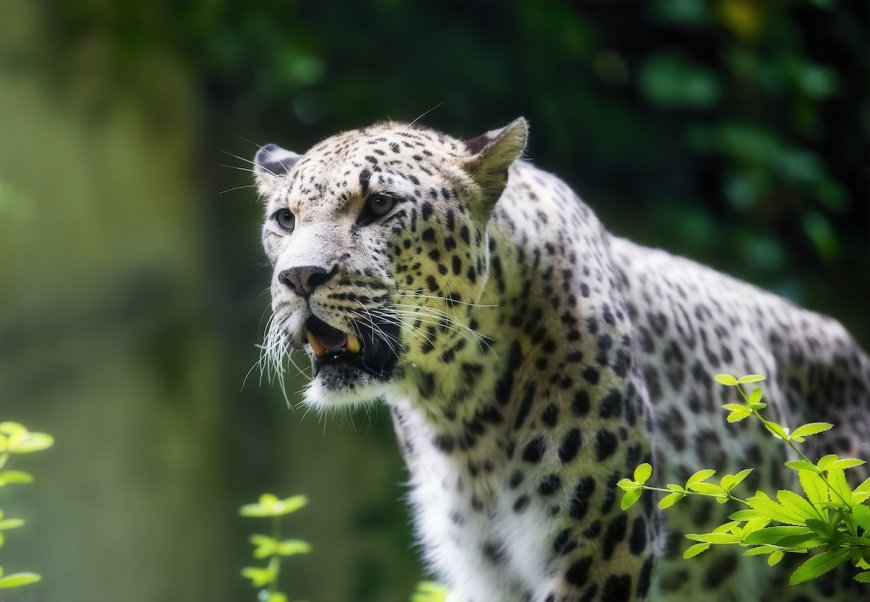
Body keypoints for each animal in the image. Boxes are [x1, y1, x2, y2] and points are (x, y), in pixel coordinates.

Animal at [252, 118, 870, 602]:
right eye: (284, 219)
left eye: (379, 205)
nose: (298, 278)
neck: (457, 406)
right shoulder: (485, 570)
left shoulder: (603, 546)